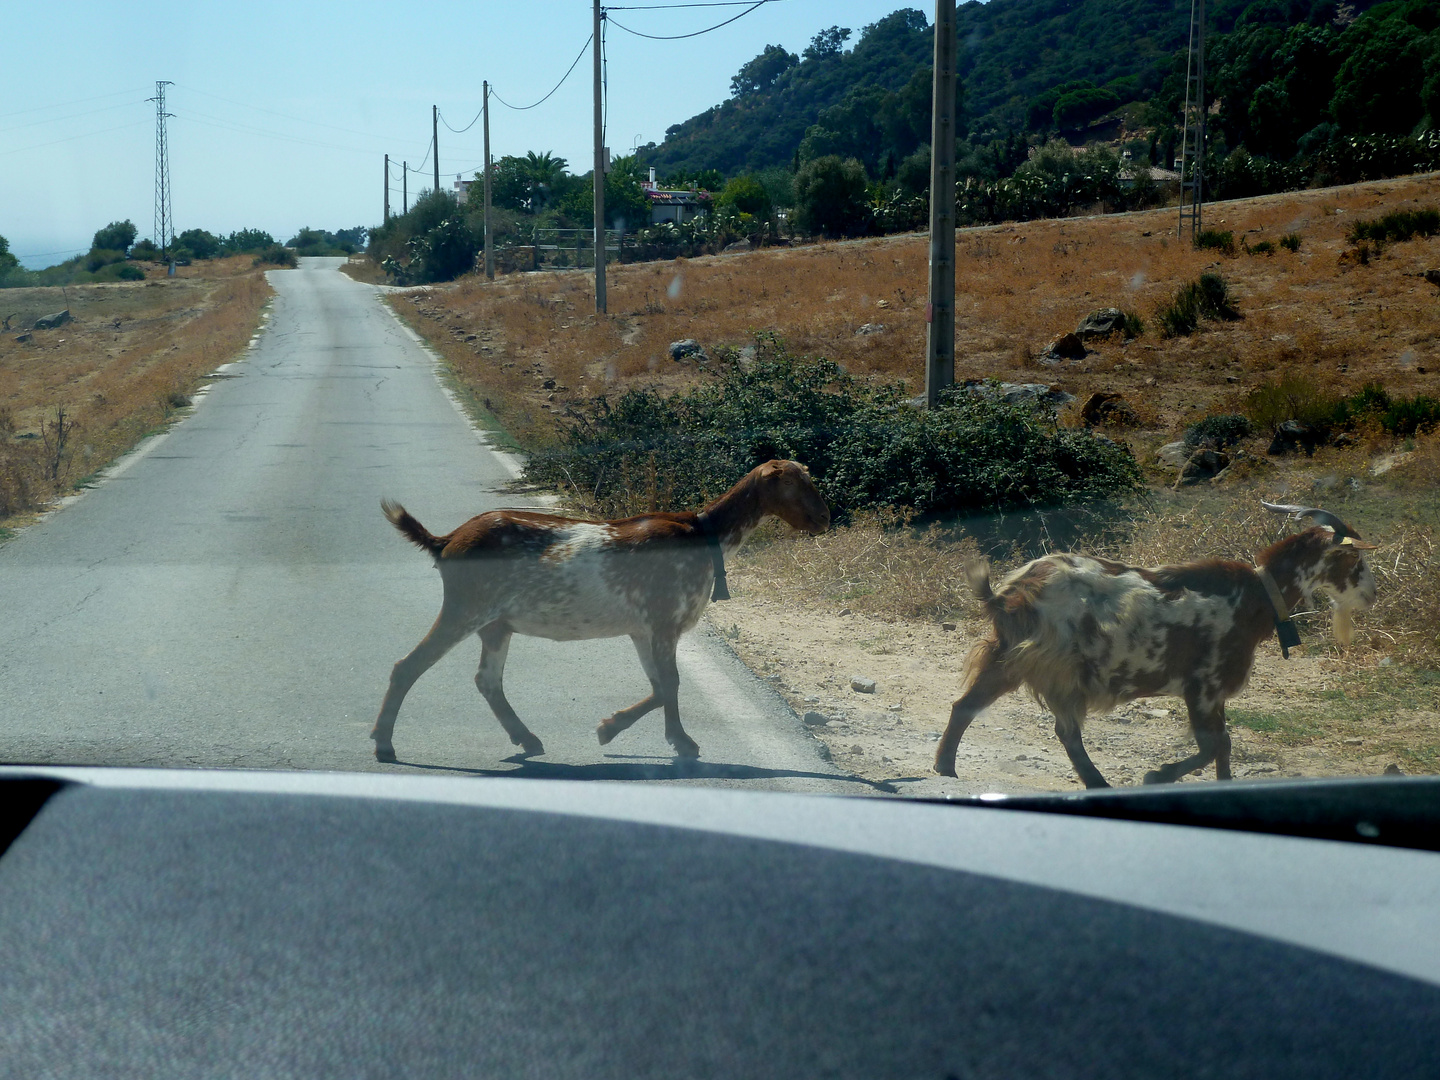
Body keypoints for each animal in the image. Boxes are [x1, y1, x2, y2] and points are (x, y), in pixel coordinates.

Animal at [368, 460, 835, 766]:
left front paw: (621, 730)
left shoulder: (643, 629)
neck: (706, 536)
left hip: (496, 622)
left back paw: (527, 739)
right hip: (467, 605)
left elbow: (661, 685)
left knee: (487, 680)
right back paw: (383, 743)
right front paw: (673, 741)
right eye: (796, 484)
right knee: (408, 665)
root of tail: (446, 541)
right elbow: (670, 684)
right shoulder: (664, 618)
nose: (825, 517)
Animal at [927, 504, 1376, 789]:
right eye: (1357, 562)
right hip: (1054, 663)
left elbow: (1224, 745)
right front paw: (1156, 776)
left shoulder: (1214, 692)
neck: (1257, 596)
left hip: (1015, 656)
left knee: (970, 705)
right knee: (1059, 728)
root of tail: (1010, 592)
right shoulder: (1204, 684)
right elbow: (1214, 744)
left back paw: (946, 768)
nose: (1370, 594)